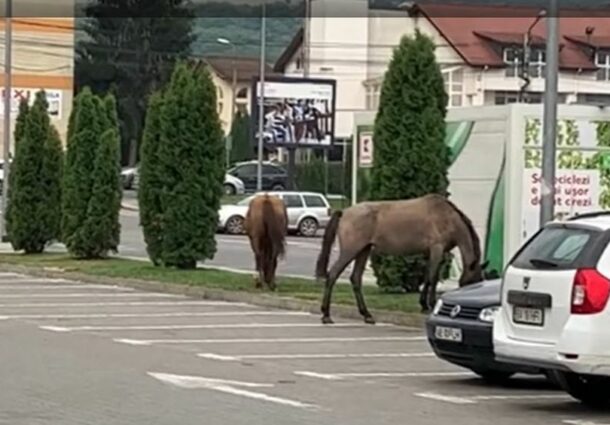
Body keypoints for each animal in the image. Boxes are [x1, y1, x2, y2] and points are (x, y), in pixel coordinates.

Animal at [314, 194, 484, 322]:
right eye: (471, 282)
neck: (446, 216)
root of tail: (344, 212)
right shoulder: (437, 249)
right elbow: (432, 278)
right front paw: (430, 304)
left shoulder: (430, 253)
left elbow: (428, 277)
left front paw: (424, 304)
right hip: (350, 251)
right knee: (333, 275)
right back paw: (326, 315)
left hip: (363, 251)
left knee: (356, 278)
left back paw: (367, 315)